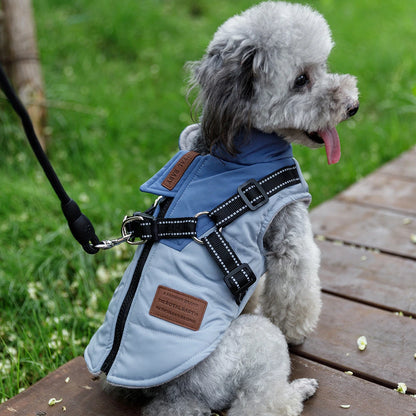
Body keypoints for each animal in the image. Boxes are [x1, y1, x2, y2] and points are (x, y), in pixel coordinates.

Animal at [109, 1, 360, 414]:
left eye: (323, 66)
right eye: (301, 80)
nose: (353, 106)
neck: (241, 145)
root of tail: (173, 394)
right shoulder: (290, 239)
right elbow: (296, 291)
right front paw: (298, 330)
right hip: (256, 342)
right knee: (258, 402)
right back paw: (300, 389)